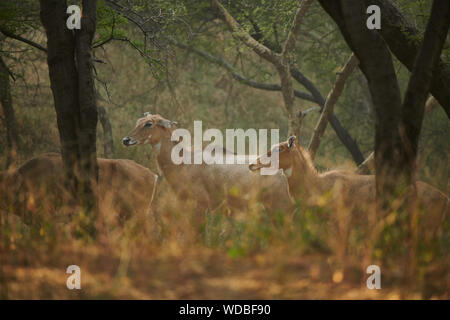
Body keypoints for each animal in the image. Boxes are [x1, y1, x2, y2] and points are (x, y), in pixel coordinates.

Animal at [123, 112, 292, 215]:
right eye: (139, 121)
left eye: (149, 124)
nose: (126, 140)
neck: (183, 162)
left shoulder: (201, 205)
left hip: (280, 206)